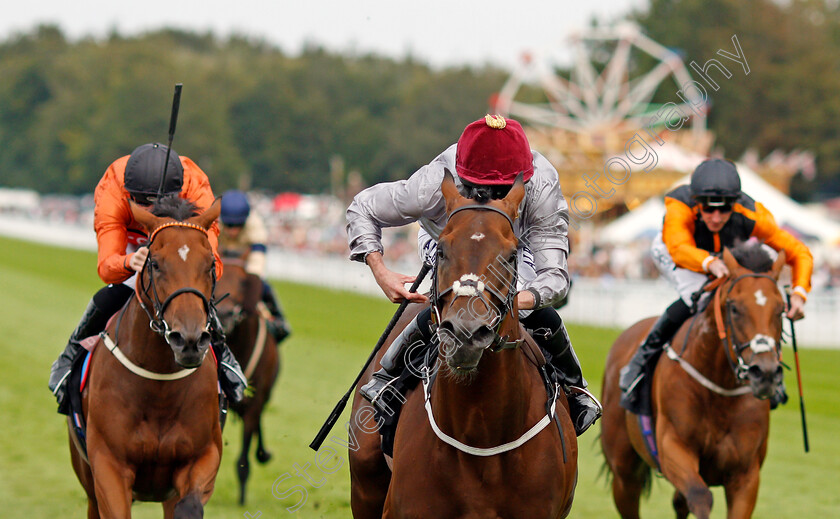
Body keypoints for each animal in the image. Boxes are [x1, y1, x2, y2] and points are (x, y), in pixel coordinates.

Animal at [69, 197, 223, 516]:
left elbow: (189, 506)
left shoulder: (204, 456)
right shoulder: (108, 465)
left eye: (211, 264)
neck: (159, 386)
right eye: (154, 263)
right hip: (86, 475)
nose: (189, 340)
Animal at [604, 247, 788, 519]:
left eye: (781, 309)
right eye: (734, 308)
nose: (764, 373)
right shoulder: (673, 447)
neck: (720, 390)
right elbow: (700, 496)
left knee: (679, 502)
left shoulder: (746, 475)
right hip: (624, 472)